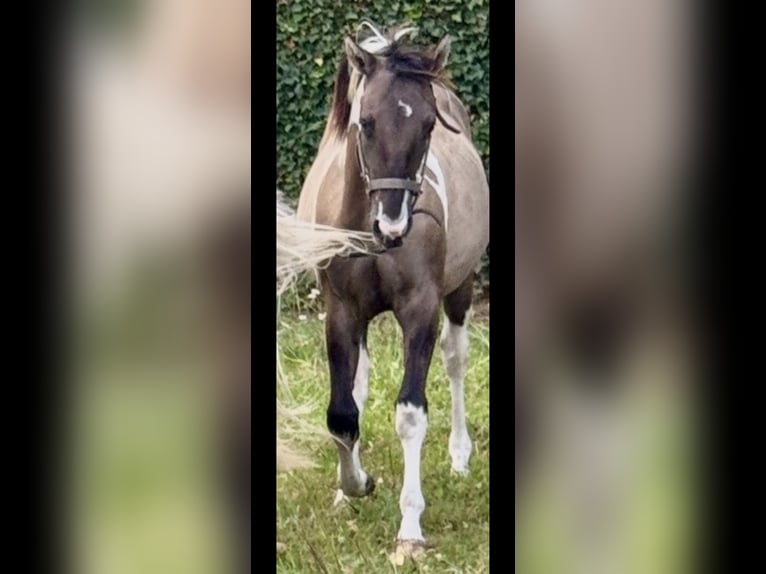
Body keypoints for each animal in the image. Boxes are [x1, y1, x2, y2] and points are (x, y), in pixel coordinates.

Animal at [295, 22, 489, 555]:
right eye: (365, 122)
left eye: (427, 126)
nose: (393, 225)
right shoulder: (341, 312)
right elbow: (343, 412)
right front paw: (354, 485)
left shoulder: (420, 311)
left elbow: (409, 414)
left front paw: (410, 527)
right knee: (358, 387)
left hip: (460, 290)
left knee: (455, 361)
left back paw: (460, 456)